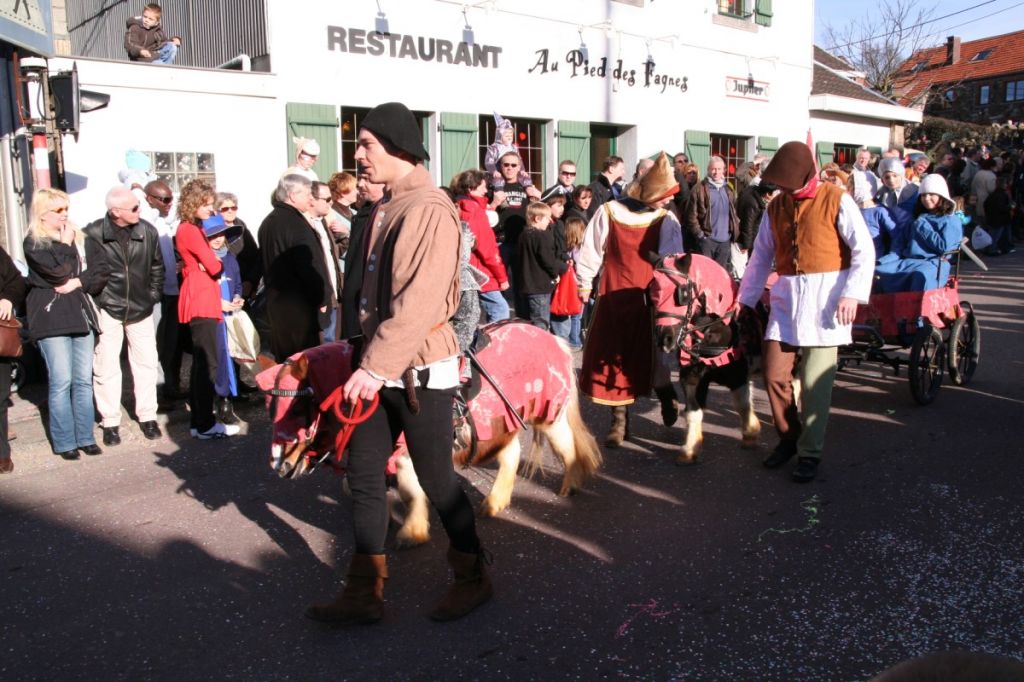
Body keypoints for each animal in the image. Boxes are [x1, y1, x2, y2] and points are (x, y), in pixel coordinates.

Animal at [256, 317, 602, 540]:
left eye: (298, 408)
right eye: (271, 408)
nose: (278, 463)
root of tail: (552, 338)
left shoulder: (407, 453)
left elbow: (411, 493)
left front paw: (412, 532)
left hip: (549, 413)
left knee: (567, 447)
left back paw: (569, 484)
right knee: (511, 454)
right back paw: (494, 502)